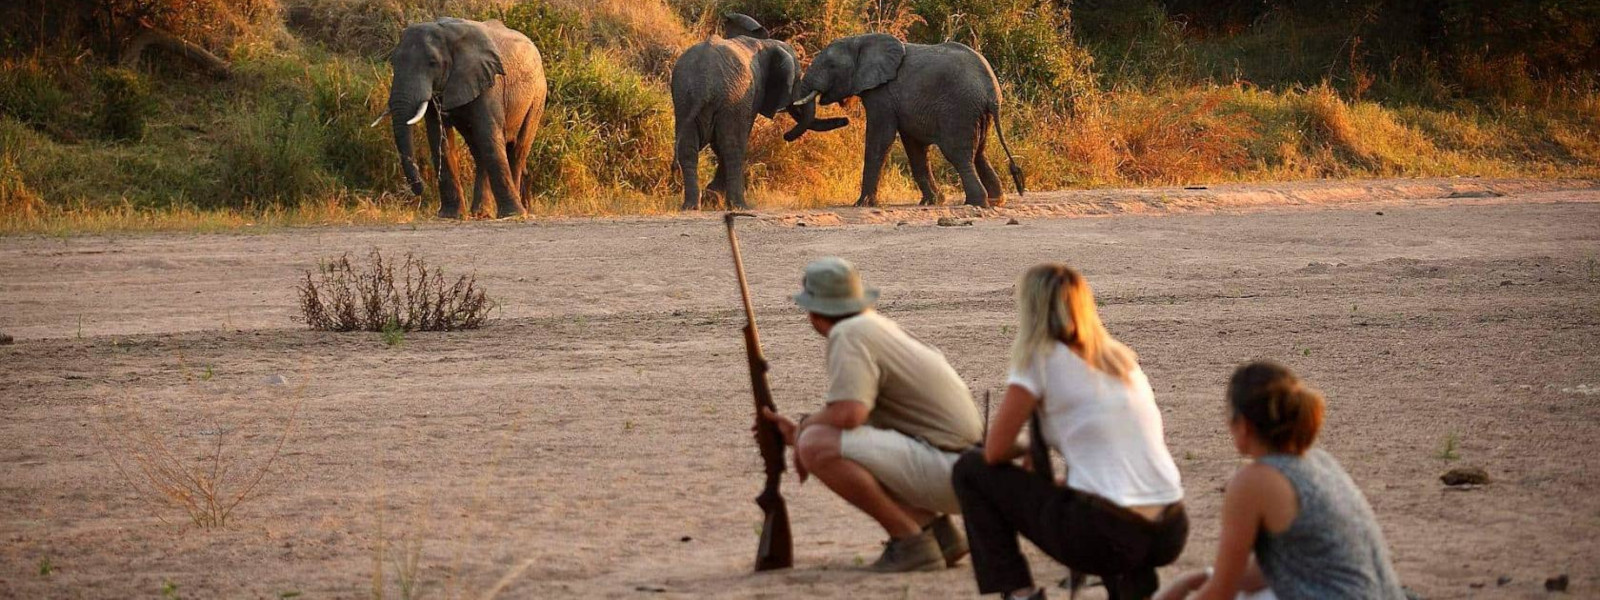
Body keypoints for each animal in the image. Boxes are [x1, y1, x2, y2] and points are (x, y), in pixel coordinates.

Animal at [377, 18, 547, 220]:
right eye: (393, 63)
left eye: (433, 62)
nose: (420, 190)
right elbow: (439, 139)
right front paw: (450, 216)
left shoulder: (490, 83)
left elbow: (489, 135)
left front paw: (512, 214)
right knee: (480, 152)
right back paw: (481, 213)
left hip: (537, 98)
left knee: (517, 150)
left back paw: (515, 211)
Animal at [672, 13, 857, 211]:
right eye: (796, 80)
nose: (846, 120)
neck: (765, 44)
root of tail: (702, 84)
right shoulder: (750, 95)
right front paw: (714, 198)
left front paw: (712, 198)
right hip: (728, 97)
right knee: (732, 147)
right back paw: (739, 206)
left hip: (684, 99)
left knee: (688, 149)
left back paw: (691, 206)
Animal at [784, 35, 1024, 209]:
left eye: (831, 66)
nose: (845, 120)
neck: (861, 40)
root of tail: (991, 90)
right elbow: (913, 146)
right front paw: (931, 202)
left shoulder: (882, 93)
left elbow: (880, 139)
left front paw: (862, 204)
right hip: (977, 113)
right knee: (979, 153)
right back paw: (995, 201)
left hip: (959, 110)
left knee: (959, 154)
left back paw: (976, 203)